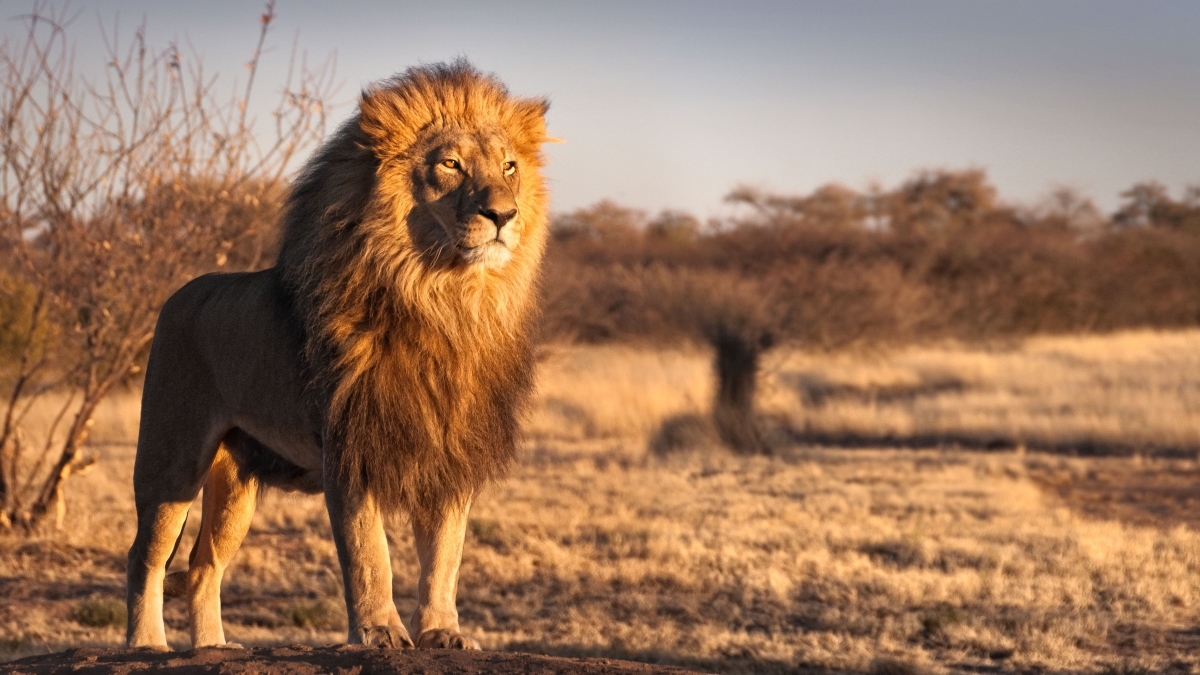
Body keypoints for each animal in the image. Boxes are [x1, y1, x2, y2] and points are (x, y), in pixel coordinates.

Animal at [121, 60, 552, 648]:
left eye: (509, 166)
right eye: (450, 164)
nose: (504, 214)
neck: (444, 300)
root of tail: (178, 294)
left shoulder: (450, 451)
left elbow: (445, 555)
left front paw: (443, 632)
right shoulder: (349, 445)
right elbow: (370, 553)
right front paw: (379, 632)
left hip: (236, 482)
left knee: (203, 564)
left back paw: (211, 647)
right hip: (172, 458)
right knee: (146, 555)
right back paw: (146, 644)